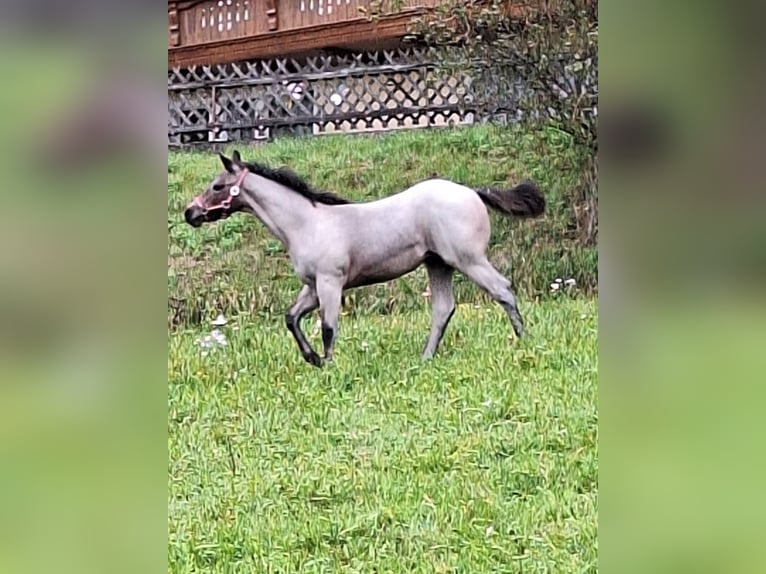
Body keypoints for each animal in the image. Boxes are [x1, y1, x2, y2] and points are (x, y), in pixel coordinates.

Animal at [185, 150, 544, 368]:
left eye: (217, 186)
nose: (190, 213)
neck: (307, 223)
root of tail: (473, 191)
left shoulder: (330, 283)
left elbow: (328, 327)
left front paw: (328, 365)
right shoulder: (312, 287)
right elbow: (291, 318)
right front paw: (313, 359)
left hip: (468, 259)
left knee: (502, 289)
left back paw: (524, 341)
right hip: (437, 263)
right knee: (444, 309)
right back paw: (425, 358)